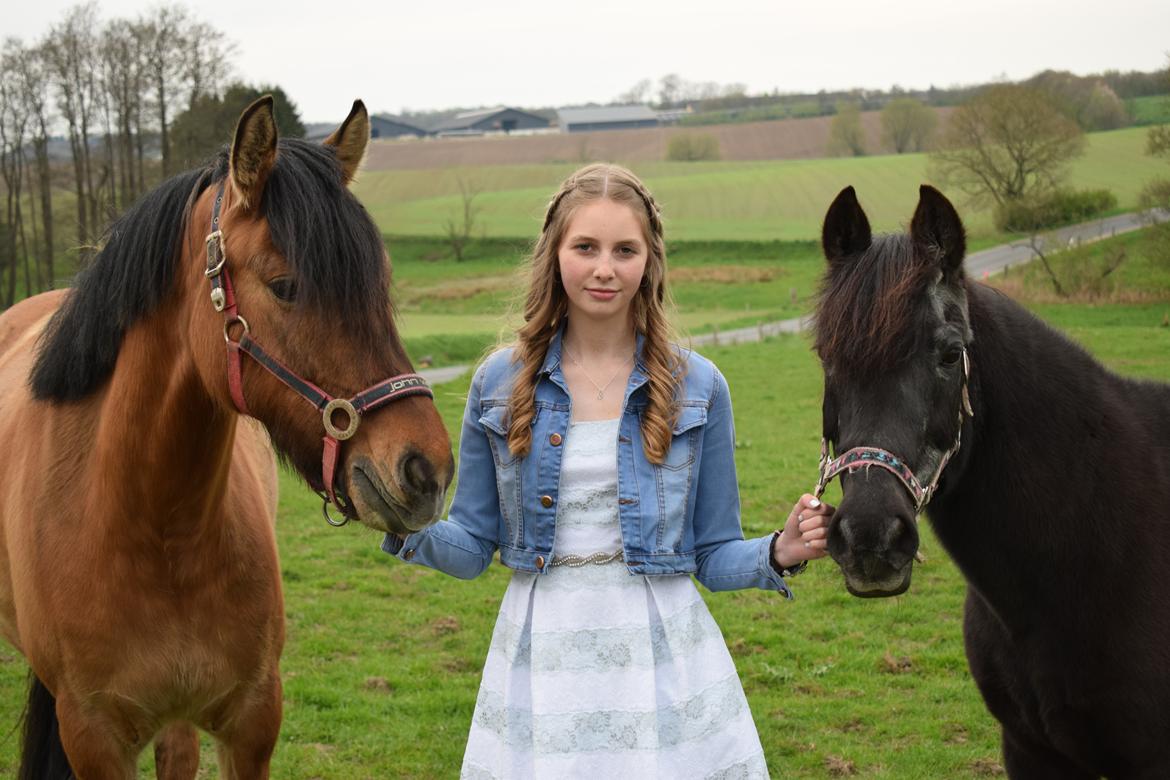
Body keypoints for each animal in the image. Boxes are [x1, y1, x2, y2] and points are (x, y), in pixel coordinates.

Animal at [0, 99, 451, 780]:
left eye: (381, 282)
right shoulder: (94, 739)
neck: (152, 527)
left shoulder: (252, 720)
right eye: (285, 285)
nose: (427, 470)